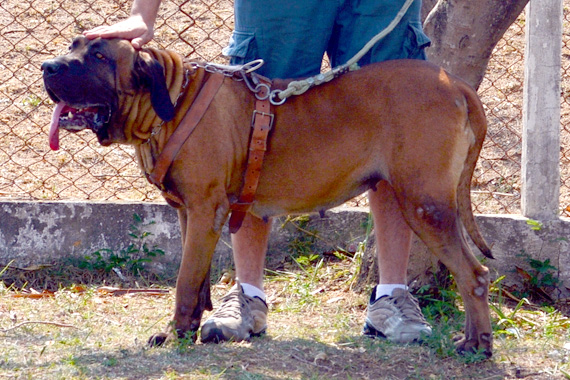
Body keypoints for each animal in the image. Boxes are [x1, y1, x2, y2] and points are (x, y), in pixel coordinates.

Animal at [41, 37, 492, 354]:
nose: (47, 66)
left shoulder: (205, 211)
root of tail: (456, 84)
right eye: (73, 46)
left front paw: (174, 334)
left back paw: (476, 345)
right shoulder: (190, 214)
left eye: (99, 56)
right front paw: (195, 326)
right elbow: (197, 279)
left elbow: (184, 282)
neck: (170, 100)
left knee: (473, 275)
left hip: (424, 204)